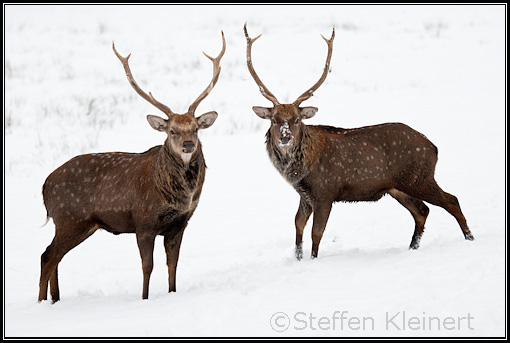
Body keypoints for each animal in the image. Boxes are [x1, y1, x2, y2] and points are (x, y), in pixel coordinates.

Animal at [37, 31, 225, 300]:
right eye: (172, 130)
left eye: (196, 128)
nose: (188, 144)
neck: (178, 197)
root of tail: (44, 186)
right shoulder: (143, 222)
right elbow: (148, 266)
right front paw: (144, 298)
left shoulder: (179, 225)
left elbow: (173, 265)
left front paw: (172, 293)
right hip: (69, 217)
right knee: (47, 256)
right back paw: (42, 301)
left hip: (78, 224)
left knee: (55, 258)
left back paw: (55, 299)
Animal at [243, 24, 474, 260]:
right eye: (274, 120)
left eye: (297, 120)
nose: (285, 137)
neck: (301, 170)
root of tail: (434, 147)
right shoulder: (305, 195)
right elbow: (298, 225)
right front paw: (298, 258)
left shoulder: (325, 192)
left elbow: (317, 233)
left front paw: (313, 260)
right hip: (398, 187)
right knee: (422, 211)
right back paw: (412, 247)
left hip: (419, 178)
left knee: (451, 200)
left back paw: (470, 239)